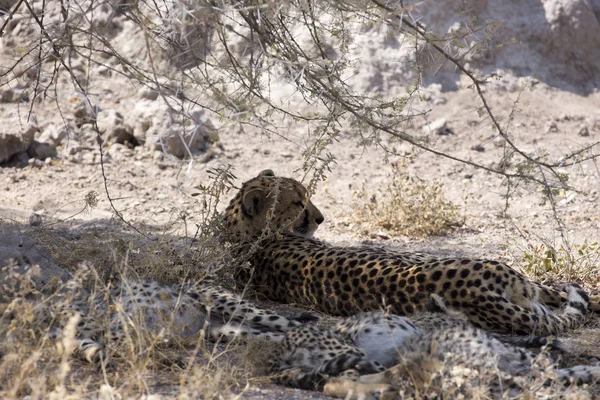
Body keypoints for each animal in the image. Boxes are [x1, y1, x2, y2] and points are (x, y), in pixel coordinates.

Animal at [226, 169, 600, 334]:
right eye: (298, 203)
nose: (320, 217)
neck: (247, 235)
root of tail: (471, 295)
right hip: (512, 279)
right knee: (558, 294)